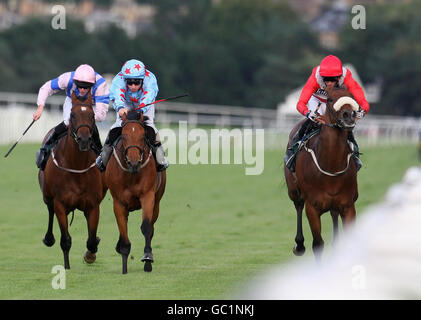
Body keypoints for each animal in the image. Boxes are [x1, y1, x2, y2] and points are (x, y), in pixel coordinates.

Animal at [38, 91, 106, 268]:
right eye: (73, 115)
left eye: (92, 115)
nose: (84, 139)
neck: (76, 166)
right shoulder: (60, 204)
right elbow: (65, 240)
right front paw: (67, 267)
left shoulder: (93, 205)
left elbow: (91, 240)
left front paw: (91, 253)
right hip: (47, 196)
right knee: (50, 211)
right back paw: (48, 238)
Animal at [104, 111, 167, 274]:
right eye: (124, 135)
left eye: (142, 136)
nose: (134, 162)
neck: (131, 174)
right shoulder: (118, 202)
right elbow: (123, 231)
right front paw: (124, 263)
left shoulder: (148, 197)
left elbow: (146, 227)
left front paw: (148, 257)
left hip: (157, 202)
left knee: (152, 227)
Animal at [282, 87, 358, 260]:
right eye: (329, 99)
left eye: (351, 96)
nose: (349, 115)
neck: (331, 166)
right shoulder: (313, 208)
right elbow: (317, 244)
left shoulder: (348, 206)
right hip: (293, 191)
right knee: (298, 206)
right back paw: (299, 245)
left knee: (334, 214)